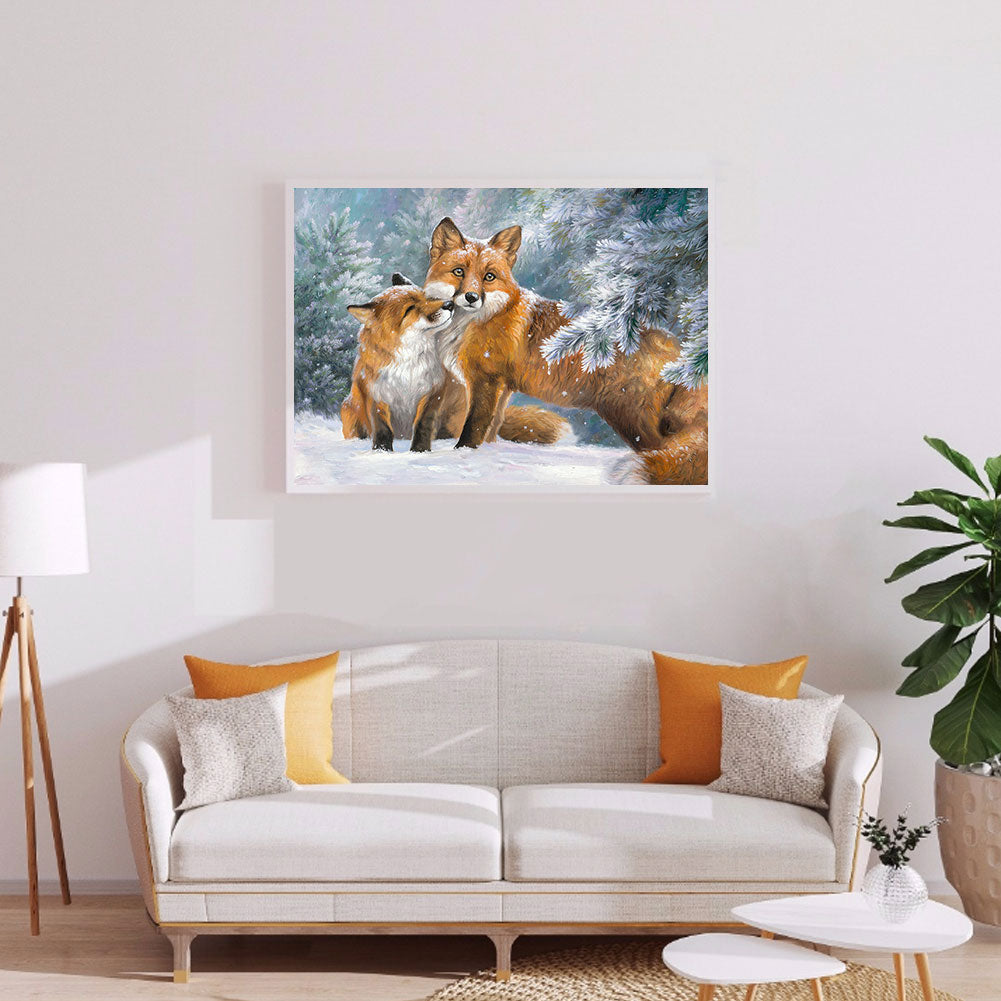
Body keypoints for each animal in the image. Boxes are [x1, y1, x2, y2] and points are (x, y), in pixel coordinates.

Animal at [341, 279, 568, 451]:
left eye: (428, 298)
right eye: (410, 309)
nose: (449, 305)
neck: (408, 366)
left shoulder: (433, 393)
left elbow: (423, 425)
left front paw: (420, 451)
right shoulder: (375, 393)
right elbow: (382, 429)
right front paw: (382, 452)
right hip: (350, 411)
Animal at [423, 217, 709, 485]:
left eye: (489, 277)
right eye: (458, 271)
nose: (471, 297)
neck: (471, 323)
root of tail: (680, 349)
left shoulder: (486, 381)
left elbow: (472, 429)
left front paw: (462, 456)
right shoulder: (502, 387)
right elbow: (491, 430)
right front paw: (487, 458)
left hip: (632, 418)